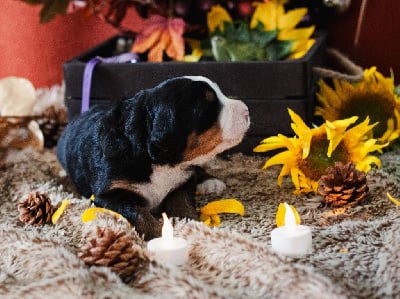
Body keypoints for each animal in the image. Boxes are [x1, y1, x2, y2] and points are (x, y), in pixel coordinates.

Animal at [57, 76, 250, 240]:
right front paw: (160, 236)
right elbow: (138, 213)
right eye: (207, 107)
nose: (247, 111)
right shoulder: (110, 194)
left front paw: (191, 225)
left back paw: (210, 181)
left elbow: (182, 202)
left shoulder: (180, 183)